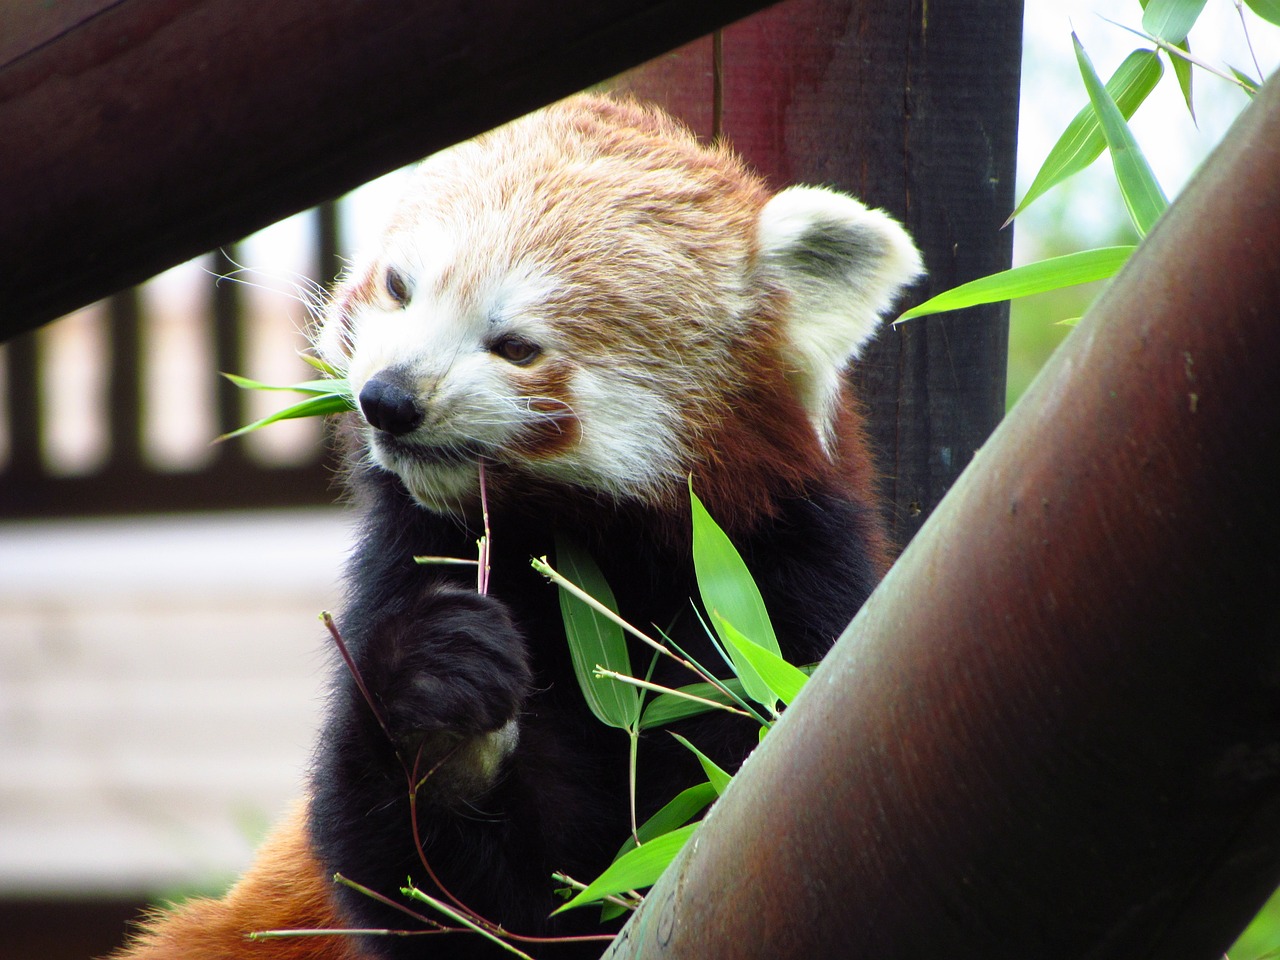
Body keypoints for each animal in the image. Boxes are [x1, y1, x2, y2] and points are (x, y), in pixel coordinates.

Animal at [104, 92, 916, 960]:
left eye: (516, 346)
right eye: (398, 287)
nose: (389, 398)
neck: (587, 553)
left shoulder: (778, 584)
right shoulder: (408, 561)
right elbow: (417, 884)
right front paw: (439, 706)